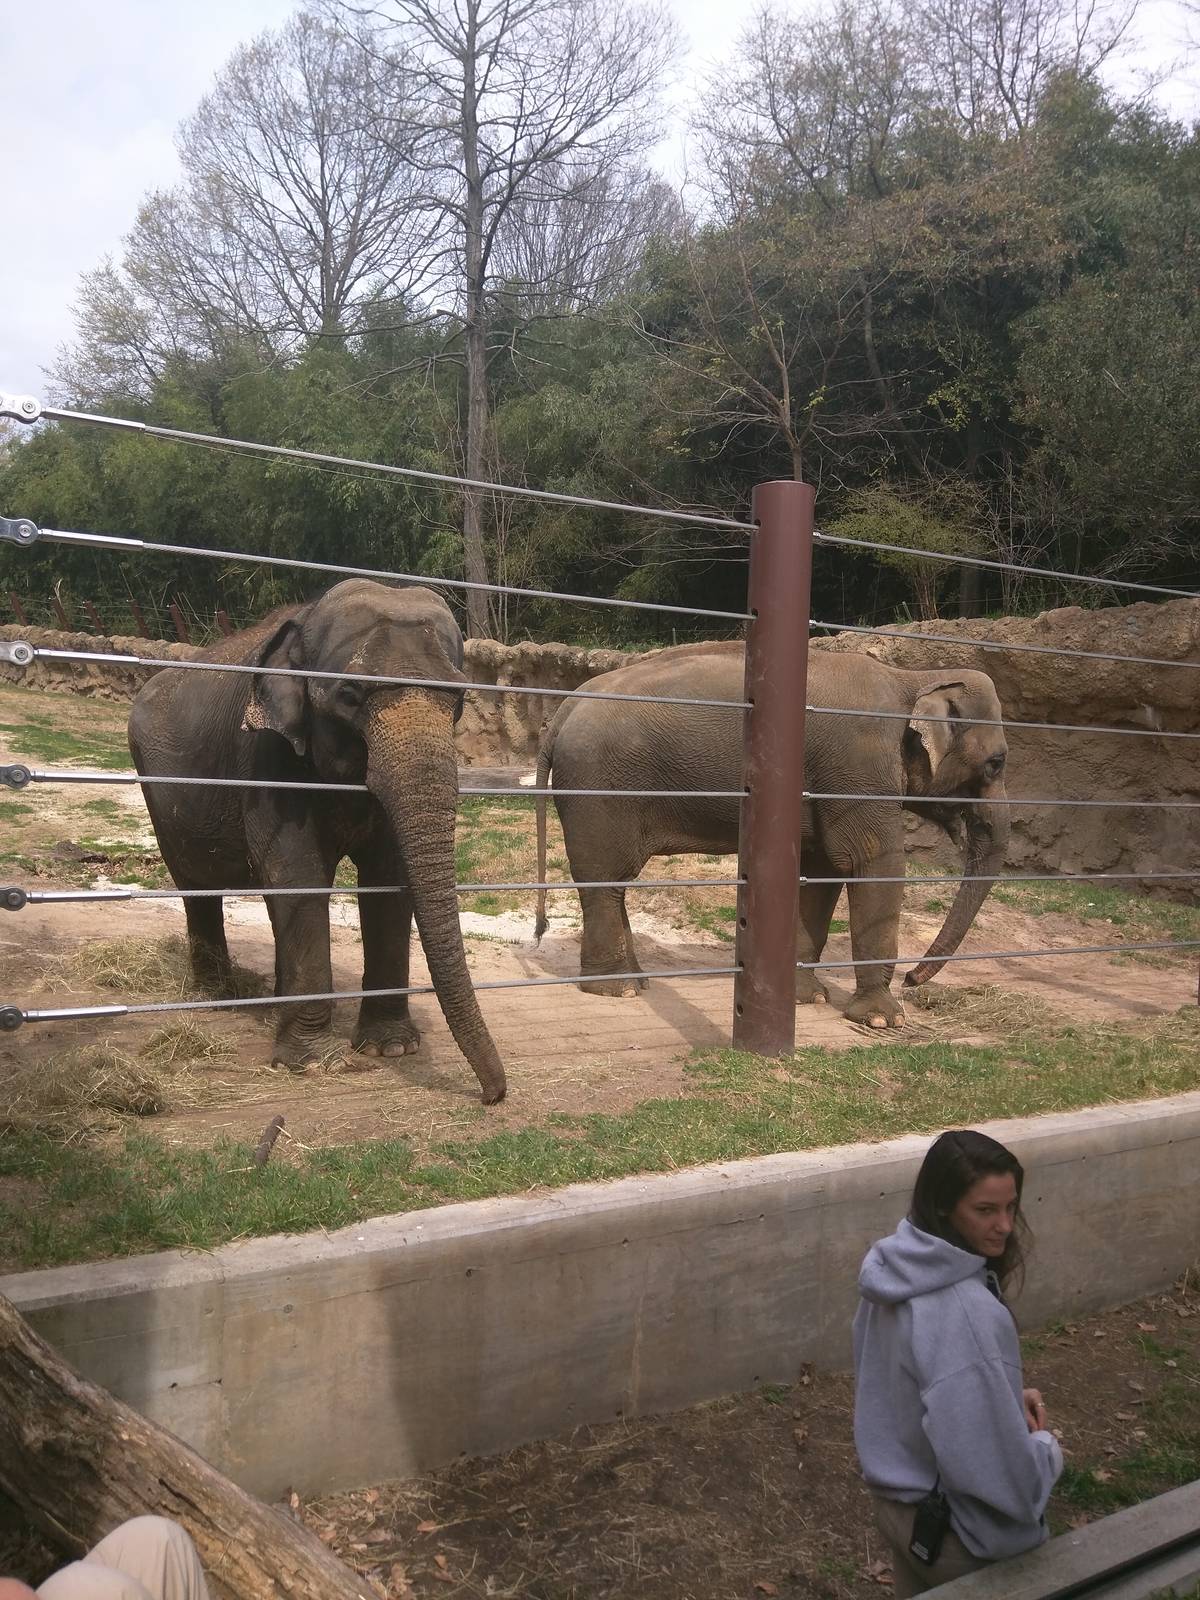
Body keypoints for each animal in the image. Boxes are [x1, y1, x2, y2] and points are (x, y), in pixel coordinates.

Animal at [128, 578, 506, 1103]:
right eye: (348, 695)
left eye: (457, 697)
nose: (493, 1095)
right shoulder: (265, 757)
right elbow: (297, 873)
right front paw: (311, 1063)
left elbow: (388, 880)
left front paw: (390, 1049)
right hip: (157, 786)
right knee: (196, 884)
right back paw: (217, 999)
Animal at [533, 642, 1009, 1029]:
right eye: (997, 763)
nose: (913, 978)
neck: (912, 678)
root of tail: (561, 713)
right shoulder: (859, 770)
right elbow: (871, 861)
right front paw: (882, 1019)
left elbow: (822, 873)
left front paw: (807, 998)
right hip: (599, 786)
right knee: (606, 878)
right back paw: (618, 989)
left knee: (616, 884)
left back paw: (637, 982)